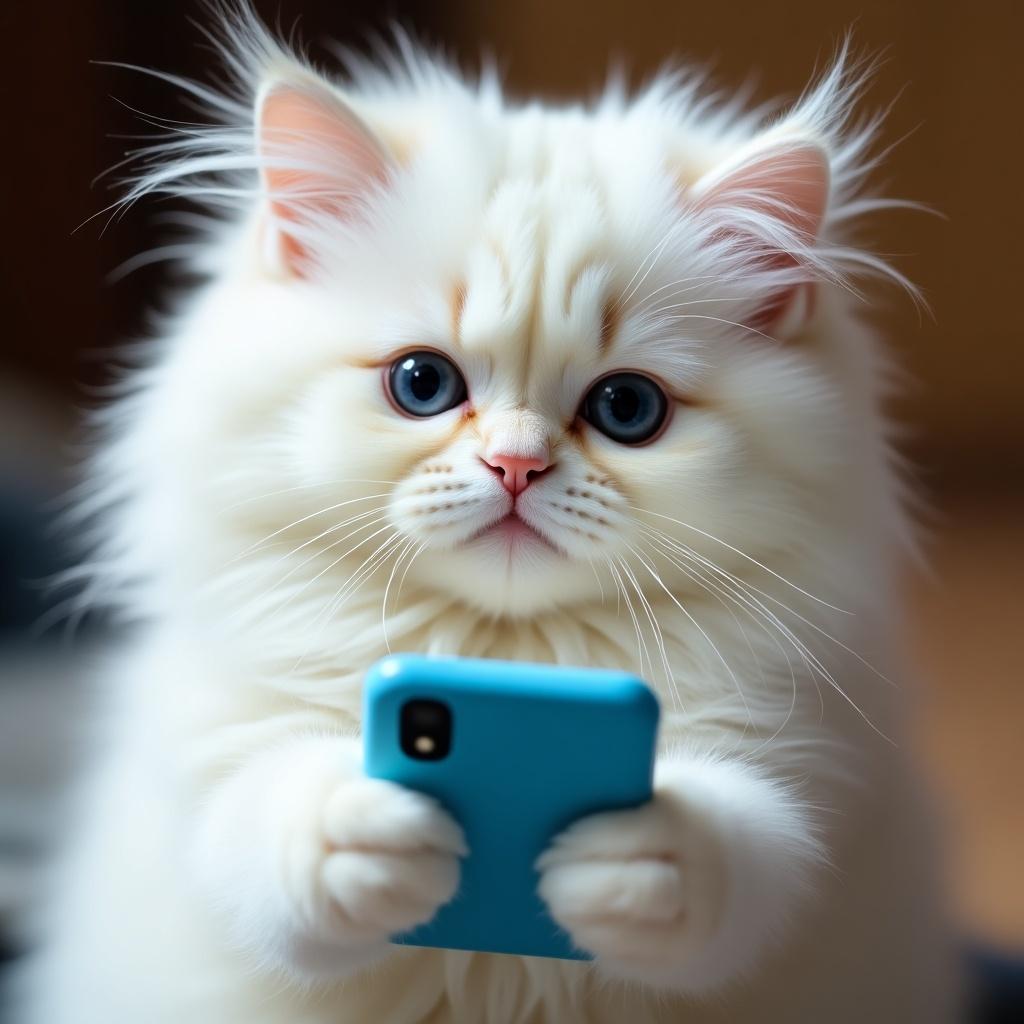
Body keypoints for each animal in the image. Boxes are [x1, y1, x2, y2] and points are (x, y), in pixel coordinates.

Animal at [14, 8, 958, 1024]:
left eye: (628, 408)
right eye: (422, 384)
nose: (516, 465)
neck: (507, 660)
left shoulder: (812, 774)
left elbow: (740, 853)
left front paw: (640, 855)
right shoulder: (212, 763)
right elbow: (266, 825)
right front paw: (362, 830)